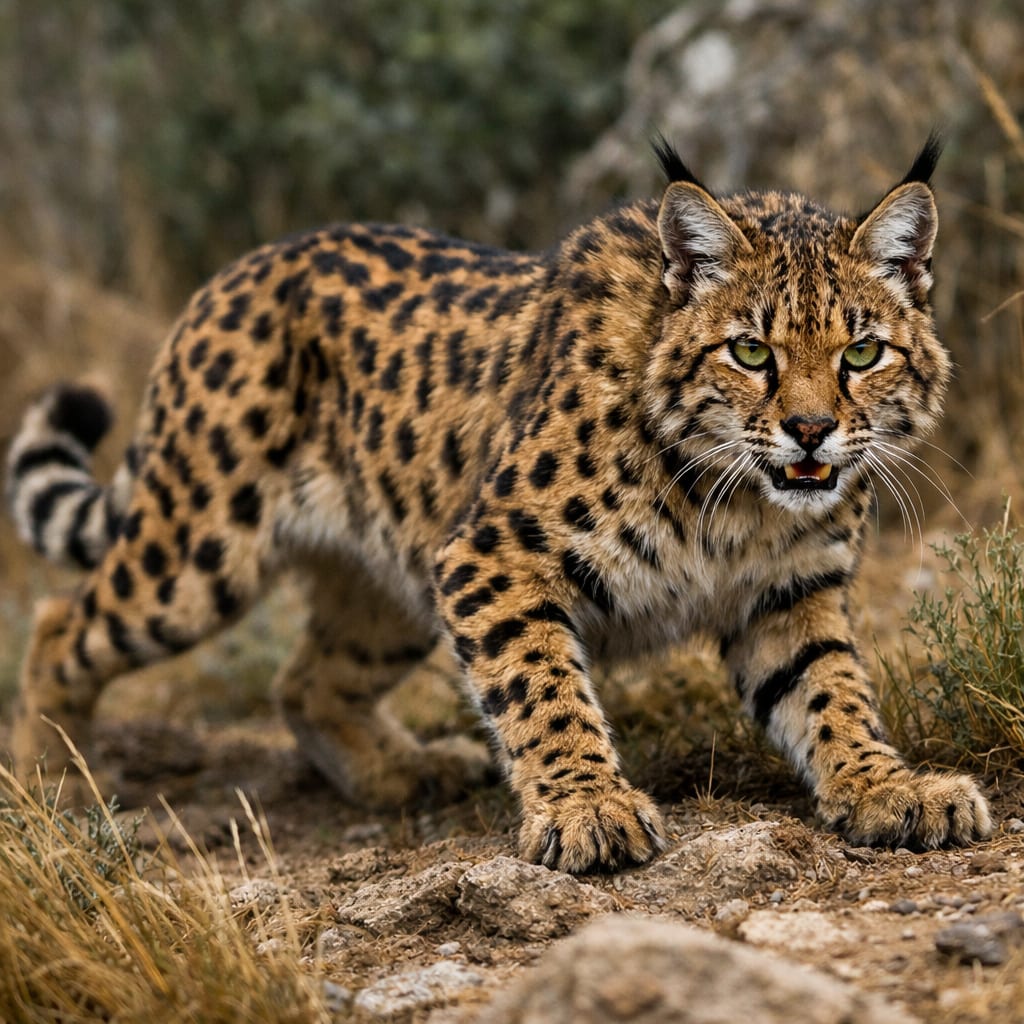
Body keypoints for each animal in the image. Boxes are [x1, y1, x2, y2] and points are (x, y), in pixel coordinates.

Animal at [5, 133, 992, 873]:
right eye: (751, 352)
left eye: (862, 354)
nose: (812, 432)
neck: (737, 506)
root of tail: (239, 268)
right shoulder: (494, 554)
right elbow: (541, 686)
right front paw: (589, 808)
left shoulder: (793, 592)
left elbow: (832, 691)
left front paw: (887, 787)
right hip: (198, 551)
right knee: (61, 624)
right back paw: (59, 787)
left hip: (391, 572)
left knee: (305, 678)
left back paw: (401, 774)